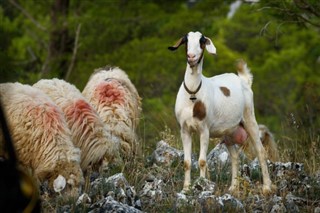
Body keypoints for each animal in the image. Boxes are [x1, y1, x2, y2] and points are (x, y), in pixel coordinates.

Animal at [168, 30, 272, 194]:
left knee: (261, 151)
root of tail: (244, 80)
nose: (191, 57)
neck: (193, 93)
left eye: (202, 41)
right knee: (235, 156)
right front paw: (185, 189)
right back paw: (233, 188)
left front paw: (202, 186)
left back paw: (267, 188)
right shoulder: (184, 130)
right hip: (229, 132)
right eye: (186, 41)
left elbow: (202, 161)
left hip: (249, 117)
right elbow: (187, 162)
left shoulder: (204, 130)